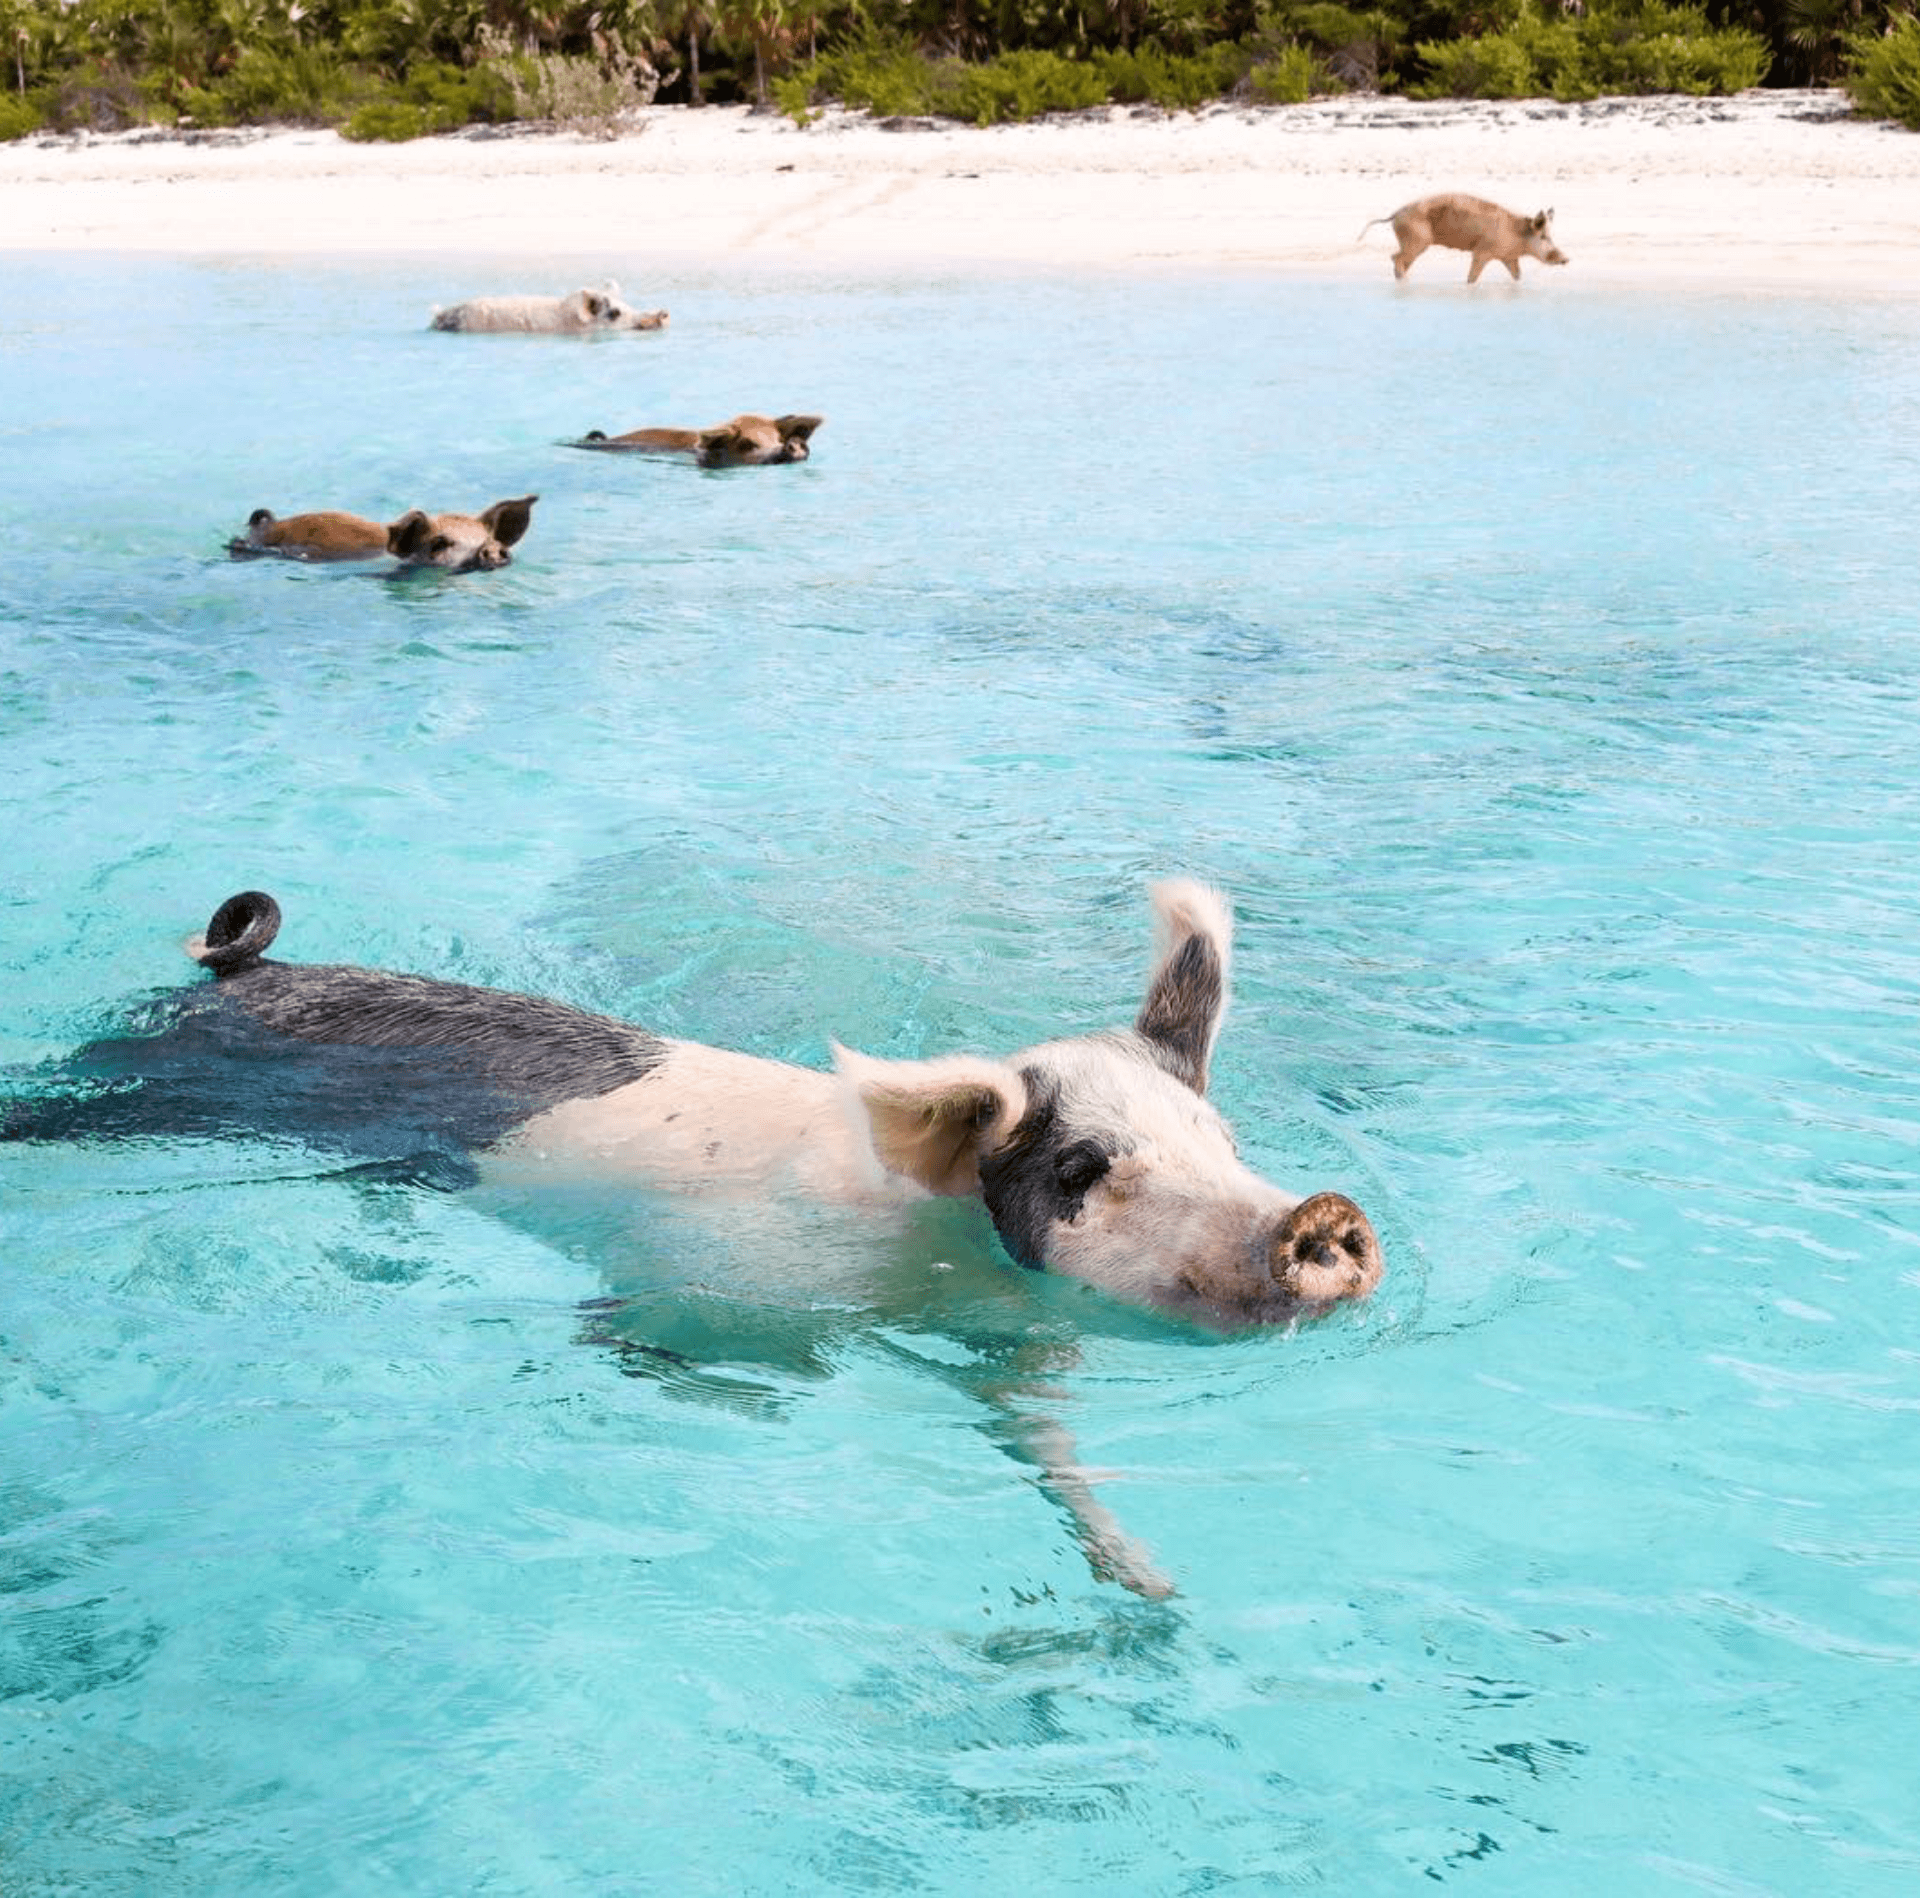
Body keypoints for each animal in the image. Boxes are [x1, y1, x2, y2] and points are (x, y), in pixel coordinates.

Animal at [1359, 194, 1566, 284]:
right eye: (1543, 236)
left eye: (1551, 236)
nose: (1566, 259)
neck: (1516, 235)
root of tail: (1395, 214)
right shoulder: (1482, 251)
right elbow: (1472, 277)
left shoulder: (1509, 257)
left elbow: (1517, 275)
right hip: (1416, 241)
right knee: (1396, 257)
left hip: (1413, 243)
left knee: (1397, 258)